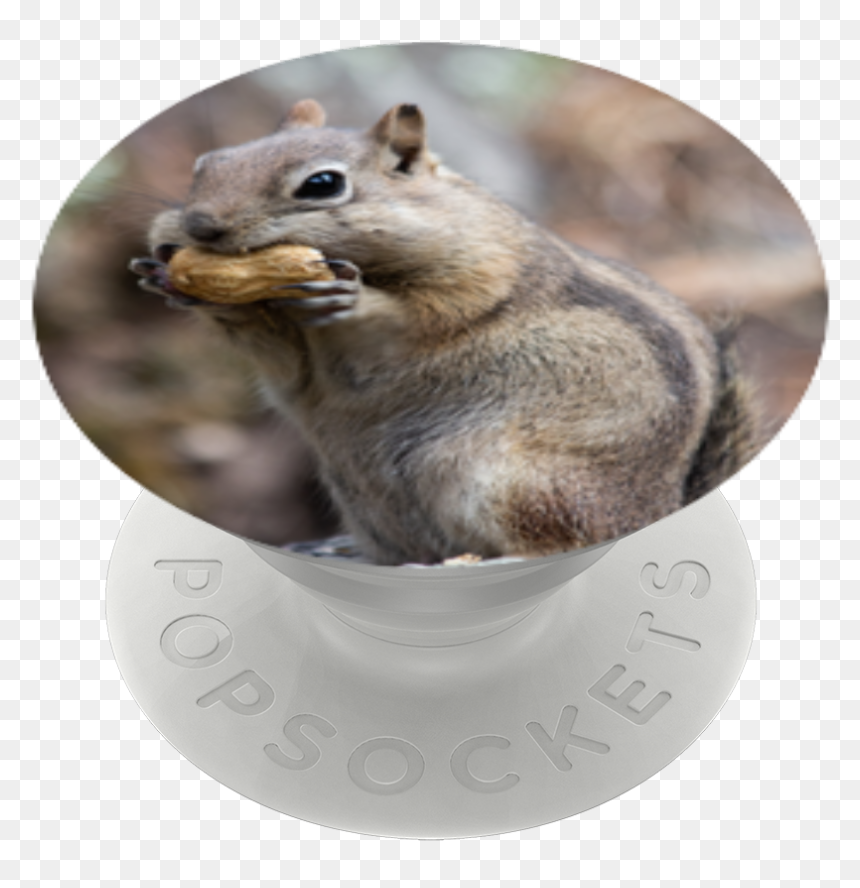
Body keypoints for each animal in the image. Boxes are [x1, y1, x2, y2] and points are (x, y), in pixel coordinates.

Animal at [130, 99, 761, 566]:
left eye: (322, 184)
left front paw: (352, 300)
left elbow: (414, 319)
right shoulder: (290, 352)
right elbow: (283, 361)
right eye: (207, 162)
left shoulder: (480, 274)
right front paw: (165, 276)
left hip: (522, 484)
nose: (198, 225)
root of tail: (657, 510)